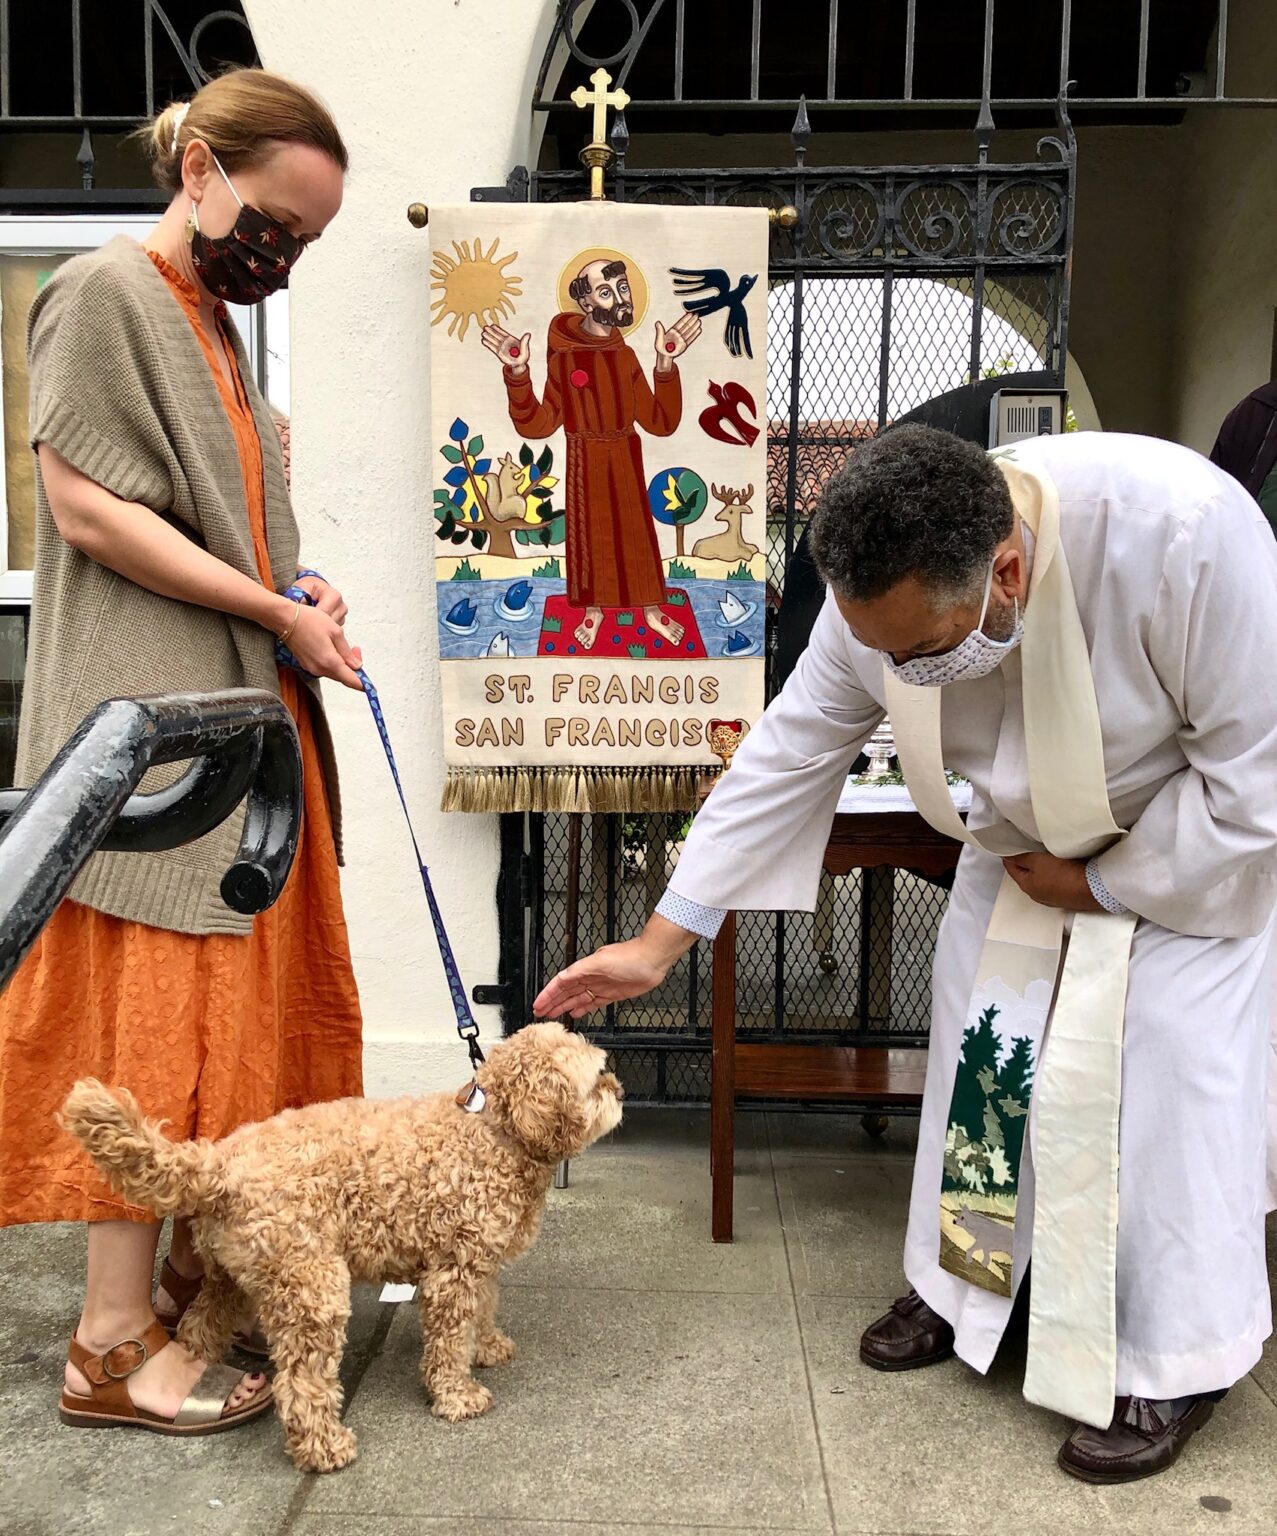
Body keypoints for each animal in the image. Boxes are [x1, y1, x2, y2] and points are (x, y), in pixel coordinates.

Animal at [63, 1026, 623, 1468]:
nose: (619, 1088)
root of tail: (217, 1165)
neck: (493, 1130)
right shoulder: (454, 1273)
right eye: (597, 1076)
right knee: (300, 1383)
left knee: (200, 1326)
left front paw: (486, 1348)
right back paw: (324, 1447)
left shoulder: (476, 1262)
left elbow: (482, 1313)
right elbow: (447, 1342)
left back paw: (194, 1380)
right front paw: (456, 1395)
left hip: (232, 1279)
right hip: (312, 1286)